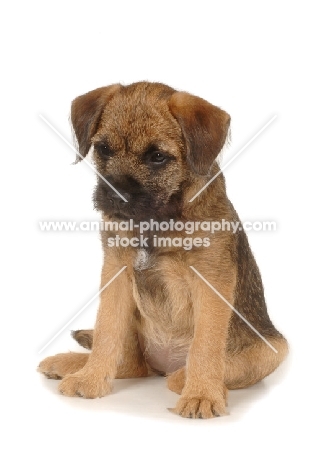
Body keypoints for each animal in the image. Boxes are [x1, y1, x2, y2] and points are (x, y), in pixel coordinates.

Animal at [38, 82, 288, 418]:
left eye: (157, 156)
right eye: (103, 149)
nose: (114, 195)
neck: (156, 220)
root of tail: (162, 365)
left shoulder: (211, 281)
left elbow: (206, 343)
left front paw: (202, 394)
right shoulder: (116, 272)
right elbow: (106, 329)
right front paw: (90, 378)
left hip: (275, 349)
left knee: (181, 370)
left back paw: (189, 379)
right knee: (131, 362)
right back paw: (72, 364)